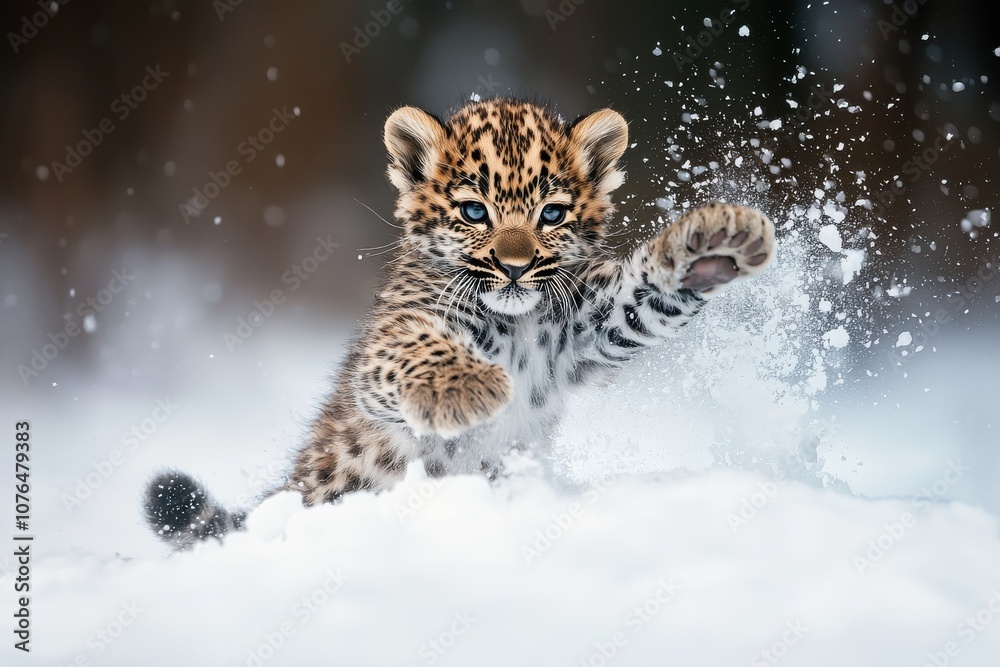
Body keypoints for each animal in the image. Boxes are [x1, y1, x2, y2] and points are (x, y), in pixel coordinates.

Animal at [144, 98, 775, 550]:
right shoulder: (395, 333)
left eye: (552, 214)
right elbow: (417, 348)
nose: (515, 266)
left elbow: (644, 290)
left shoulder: (591, 328)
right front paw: (471, 389)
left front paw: (716, 240)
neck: (516, 324)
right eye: (475, 212)